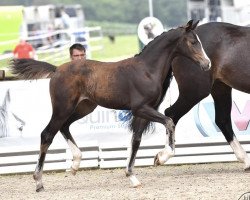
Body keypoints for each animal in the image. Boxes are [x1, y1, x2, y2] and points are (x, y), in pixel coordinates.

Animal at [10, 20, 211, 192]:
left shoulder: (143, 112)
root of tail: (56, 69)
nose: (207, 64)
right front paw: (161, 157)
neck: (147, 70)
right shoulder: (140, 108)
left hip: (84, 107)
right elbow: (169, 121)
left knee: (64, 126)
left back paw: (75, 164)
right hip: (63, 107)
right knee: (47, 134)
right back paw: (39, 182)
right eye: (193, 42)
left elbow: (136, 140)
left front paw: (132, 177)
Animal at [155, 22, 250, 170]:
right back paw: (164, 155)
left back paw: (245, 160)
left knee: (222, 120)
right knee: (171, 114)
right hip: (194, 92)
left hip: (220, 88)